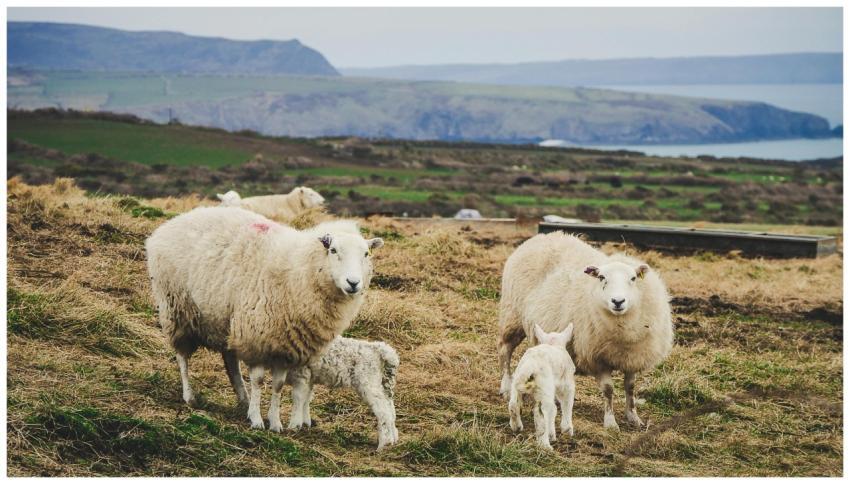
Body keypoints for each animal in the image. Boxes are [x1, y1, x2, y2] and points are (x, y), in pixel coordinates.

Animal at [145, 207, 383, 432]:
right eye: (333, 250)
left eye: (366, 254)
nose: (353, 283)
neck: (299, 271)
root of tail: (169, 225)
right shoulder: (257, 338)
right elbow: (259, 381)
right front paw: (257, 420)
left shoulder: (284, 348)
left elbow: (277, 385)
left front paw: (275, 423)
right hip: (177, 309)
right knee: (182, 356)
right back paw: (190, 396)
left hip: (227, 321)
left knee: (230, 360)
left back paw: (243, 399)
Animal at [498, 232, 673, 431]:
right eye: (602, 277)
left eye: (633, 278)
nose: (618, 301)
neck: (623, 328)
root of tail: (541, 236)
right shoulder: (597, 358)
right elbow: (608, 390)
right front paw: (611, 423)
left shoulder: (633, 357)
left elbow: (630, 387)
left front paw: (633, 417)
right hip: (512, 315)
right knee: (505, 350)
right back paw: (506, 387)